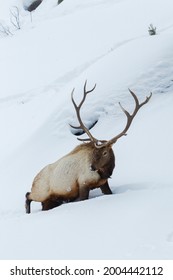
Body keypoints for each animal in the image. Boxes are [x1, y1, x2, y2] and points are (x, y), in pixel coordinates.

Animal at [25, 82, 151, 213]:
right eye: (94, 152)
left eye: (105, 152)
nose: (91, 167)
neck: (104, 172)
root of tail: (33, 181)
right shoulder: (83, 183)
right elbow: (82, 199)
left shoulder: (103, 183)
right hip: (41, 193)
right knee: (27, 195)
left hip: (49, 200)